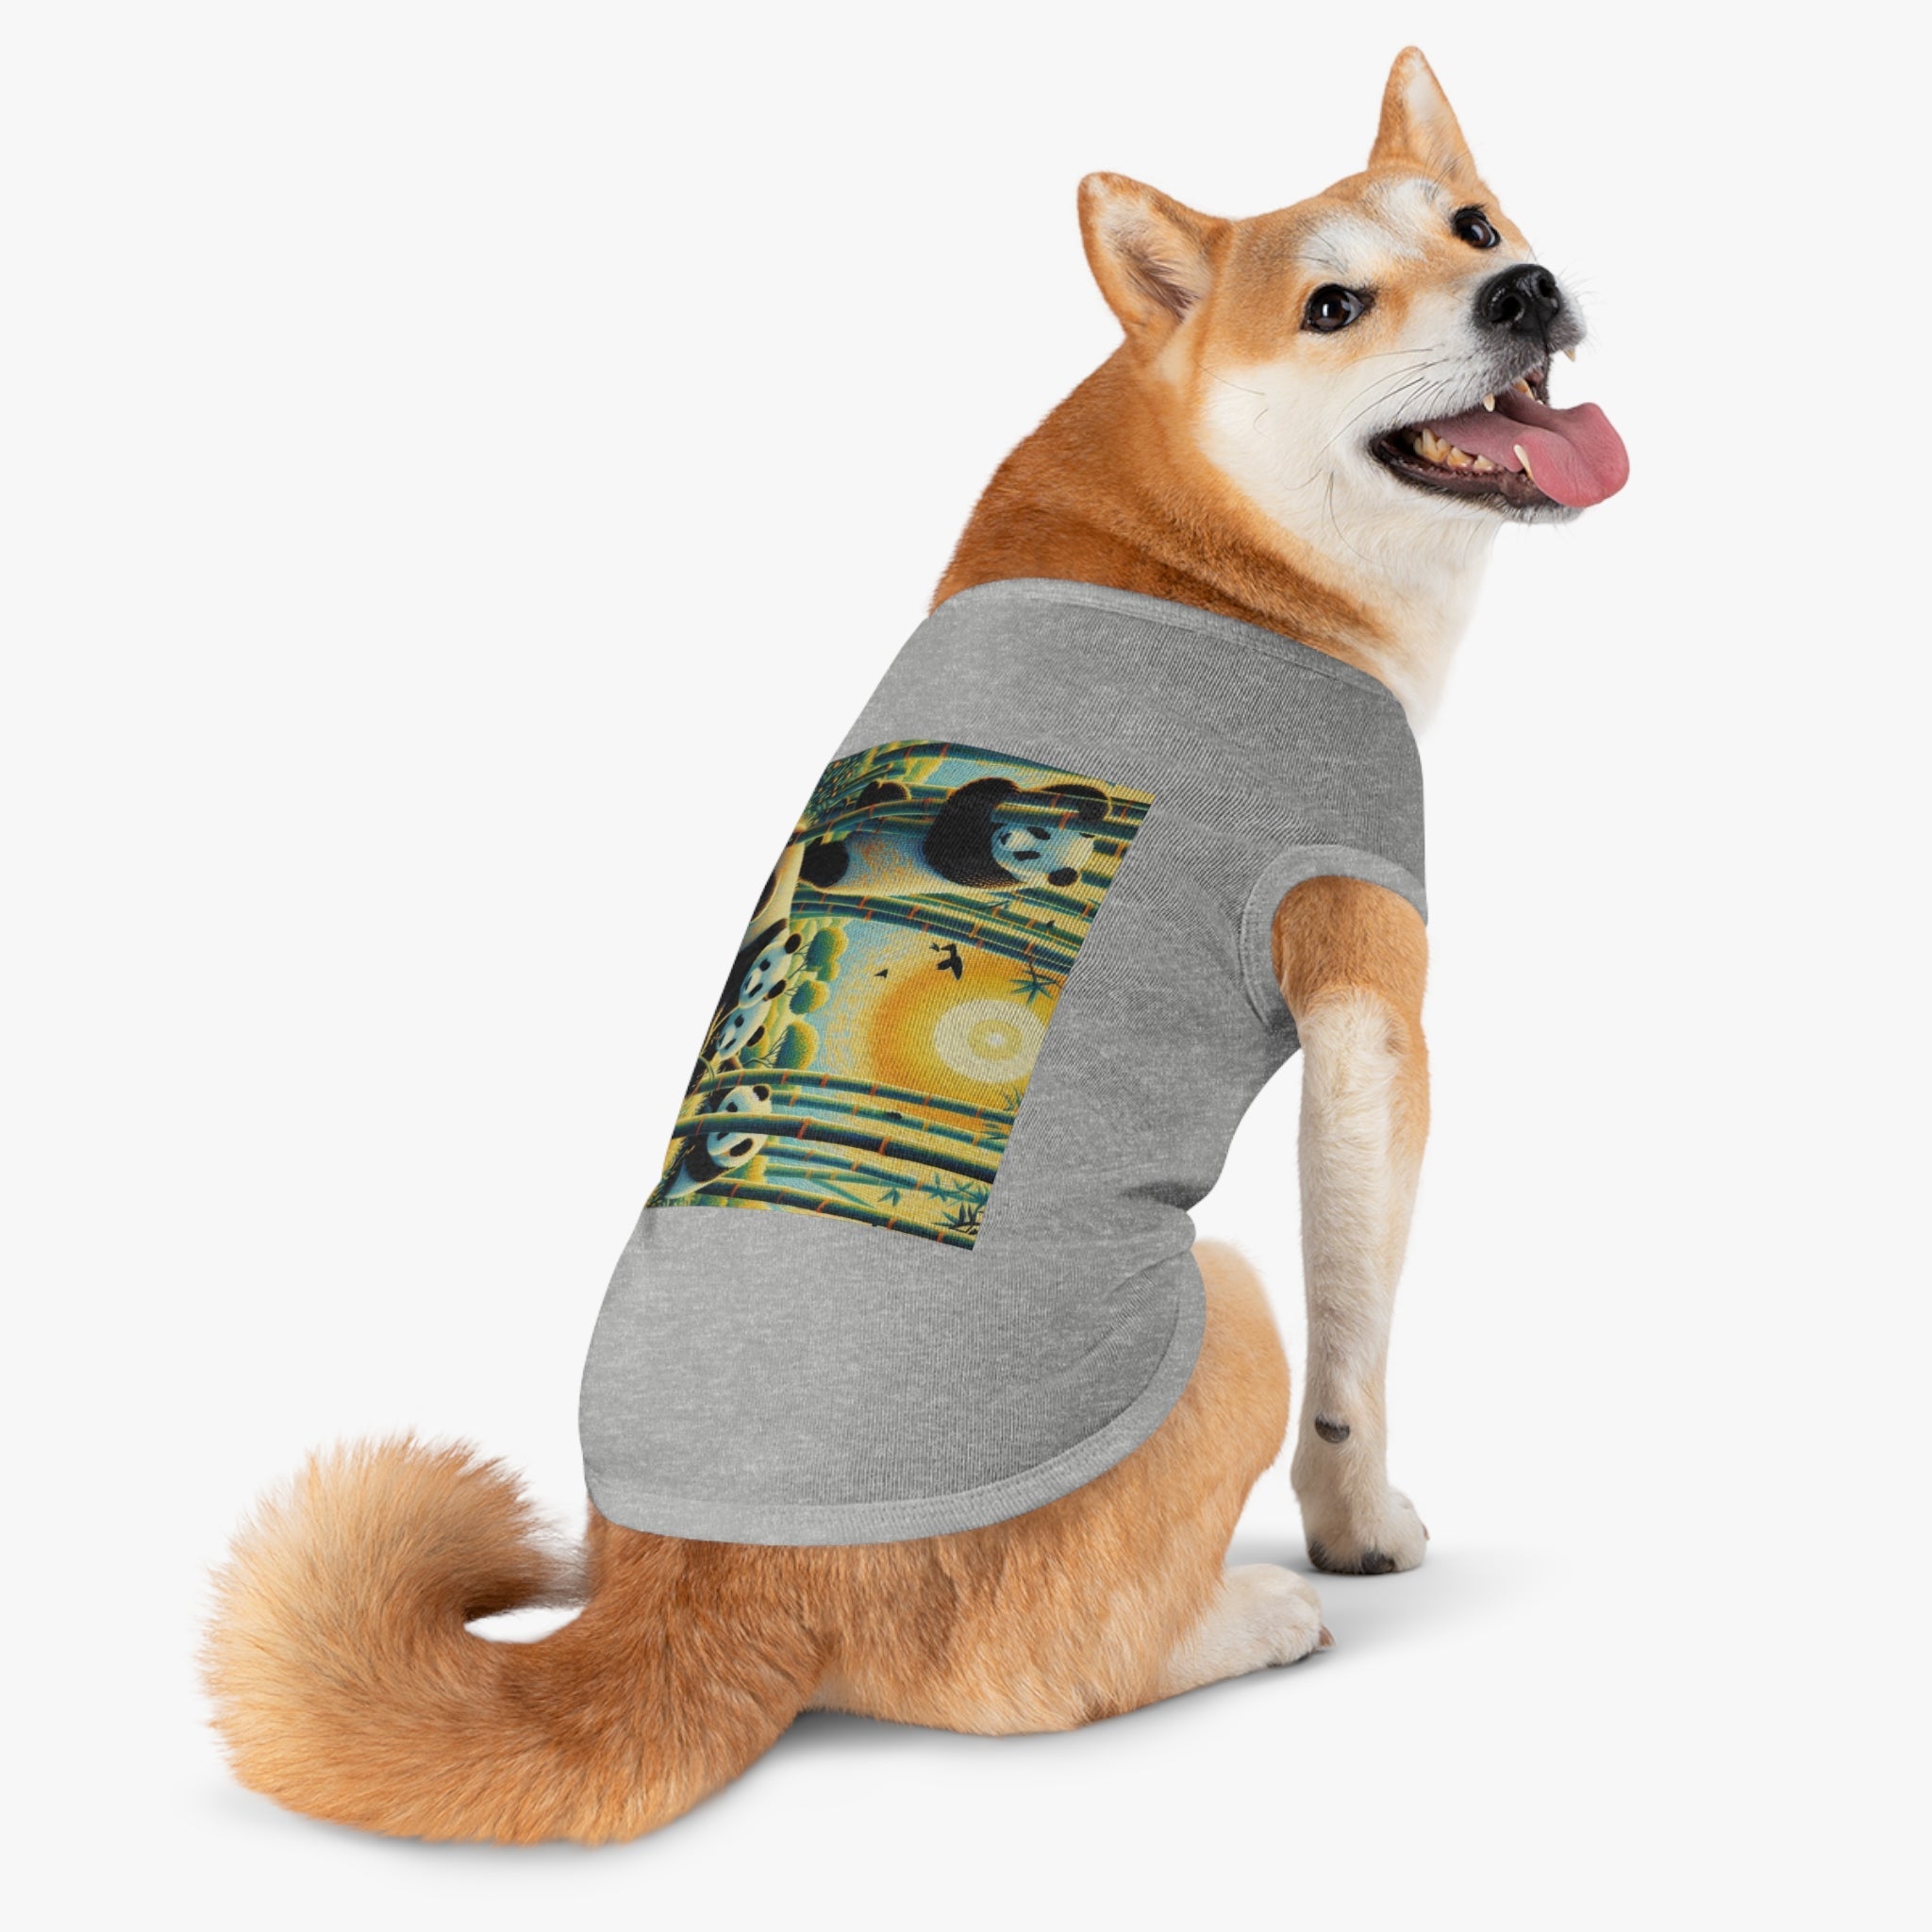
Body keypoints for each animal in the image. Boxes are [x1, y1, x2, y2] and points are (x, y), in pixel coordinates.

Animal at [798, 776, 1108, 899]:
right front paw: (1095, 807)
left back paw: (813, 852)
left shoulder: (997, 874)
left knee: (827, 866)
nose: (1007, 839)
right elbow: (1054, 792)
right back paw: (875, 792)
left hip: (850, 869)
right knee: (890, 796)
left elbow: (945, 851)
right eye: (1039, 831)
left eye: (1028, 855)